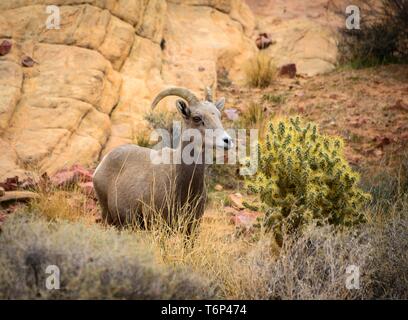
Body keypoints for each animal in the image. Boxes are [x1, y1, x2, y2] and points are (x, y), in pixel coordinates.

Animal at [93, 87, 233, 232]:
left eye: (218, 115)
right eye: (197, 118)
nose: (227, 140)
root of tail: (101, 165)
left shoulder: (191, 229)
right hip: (109, 218)